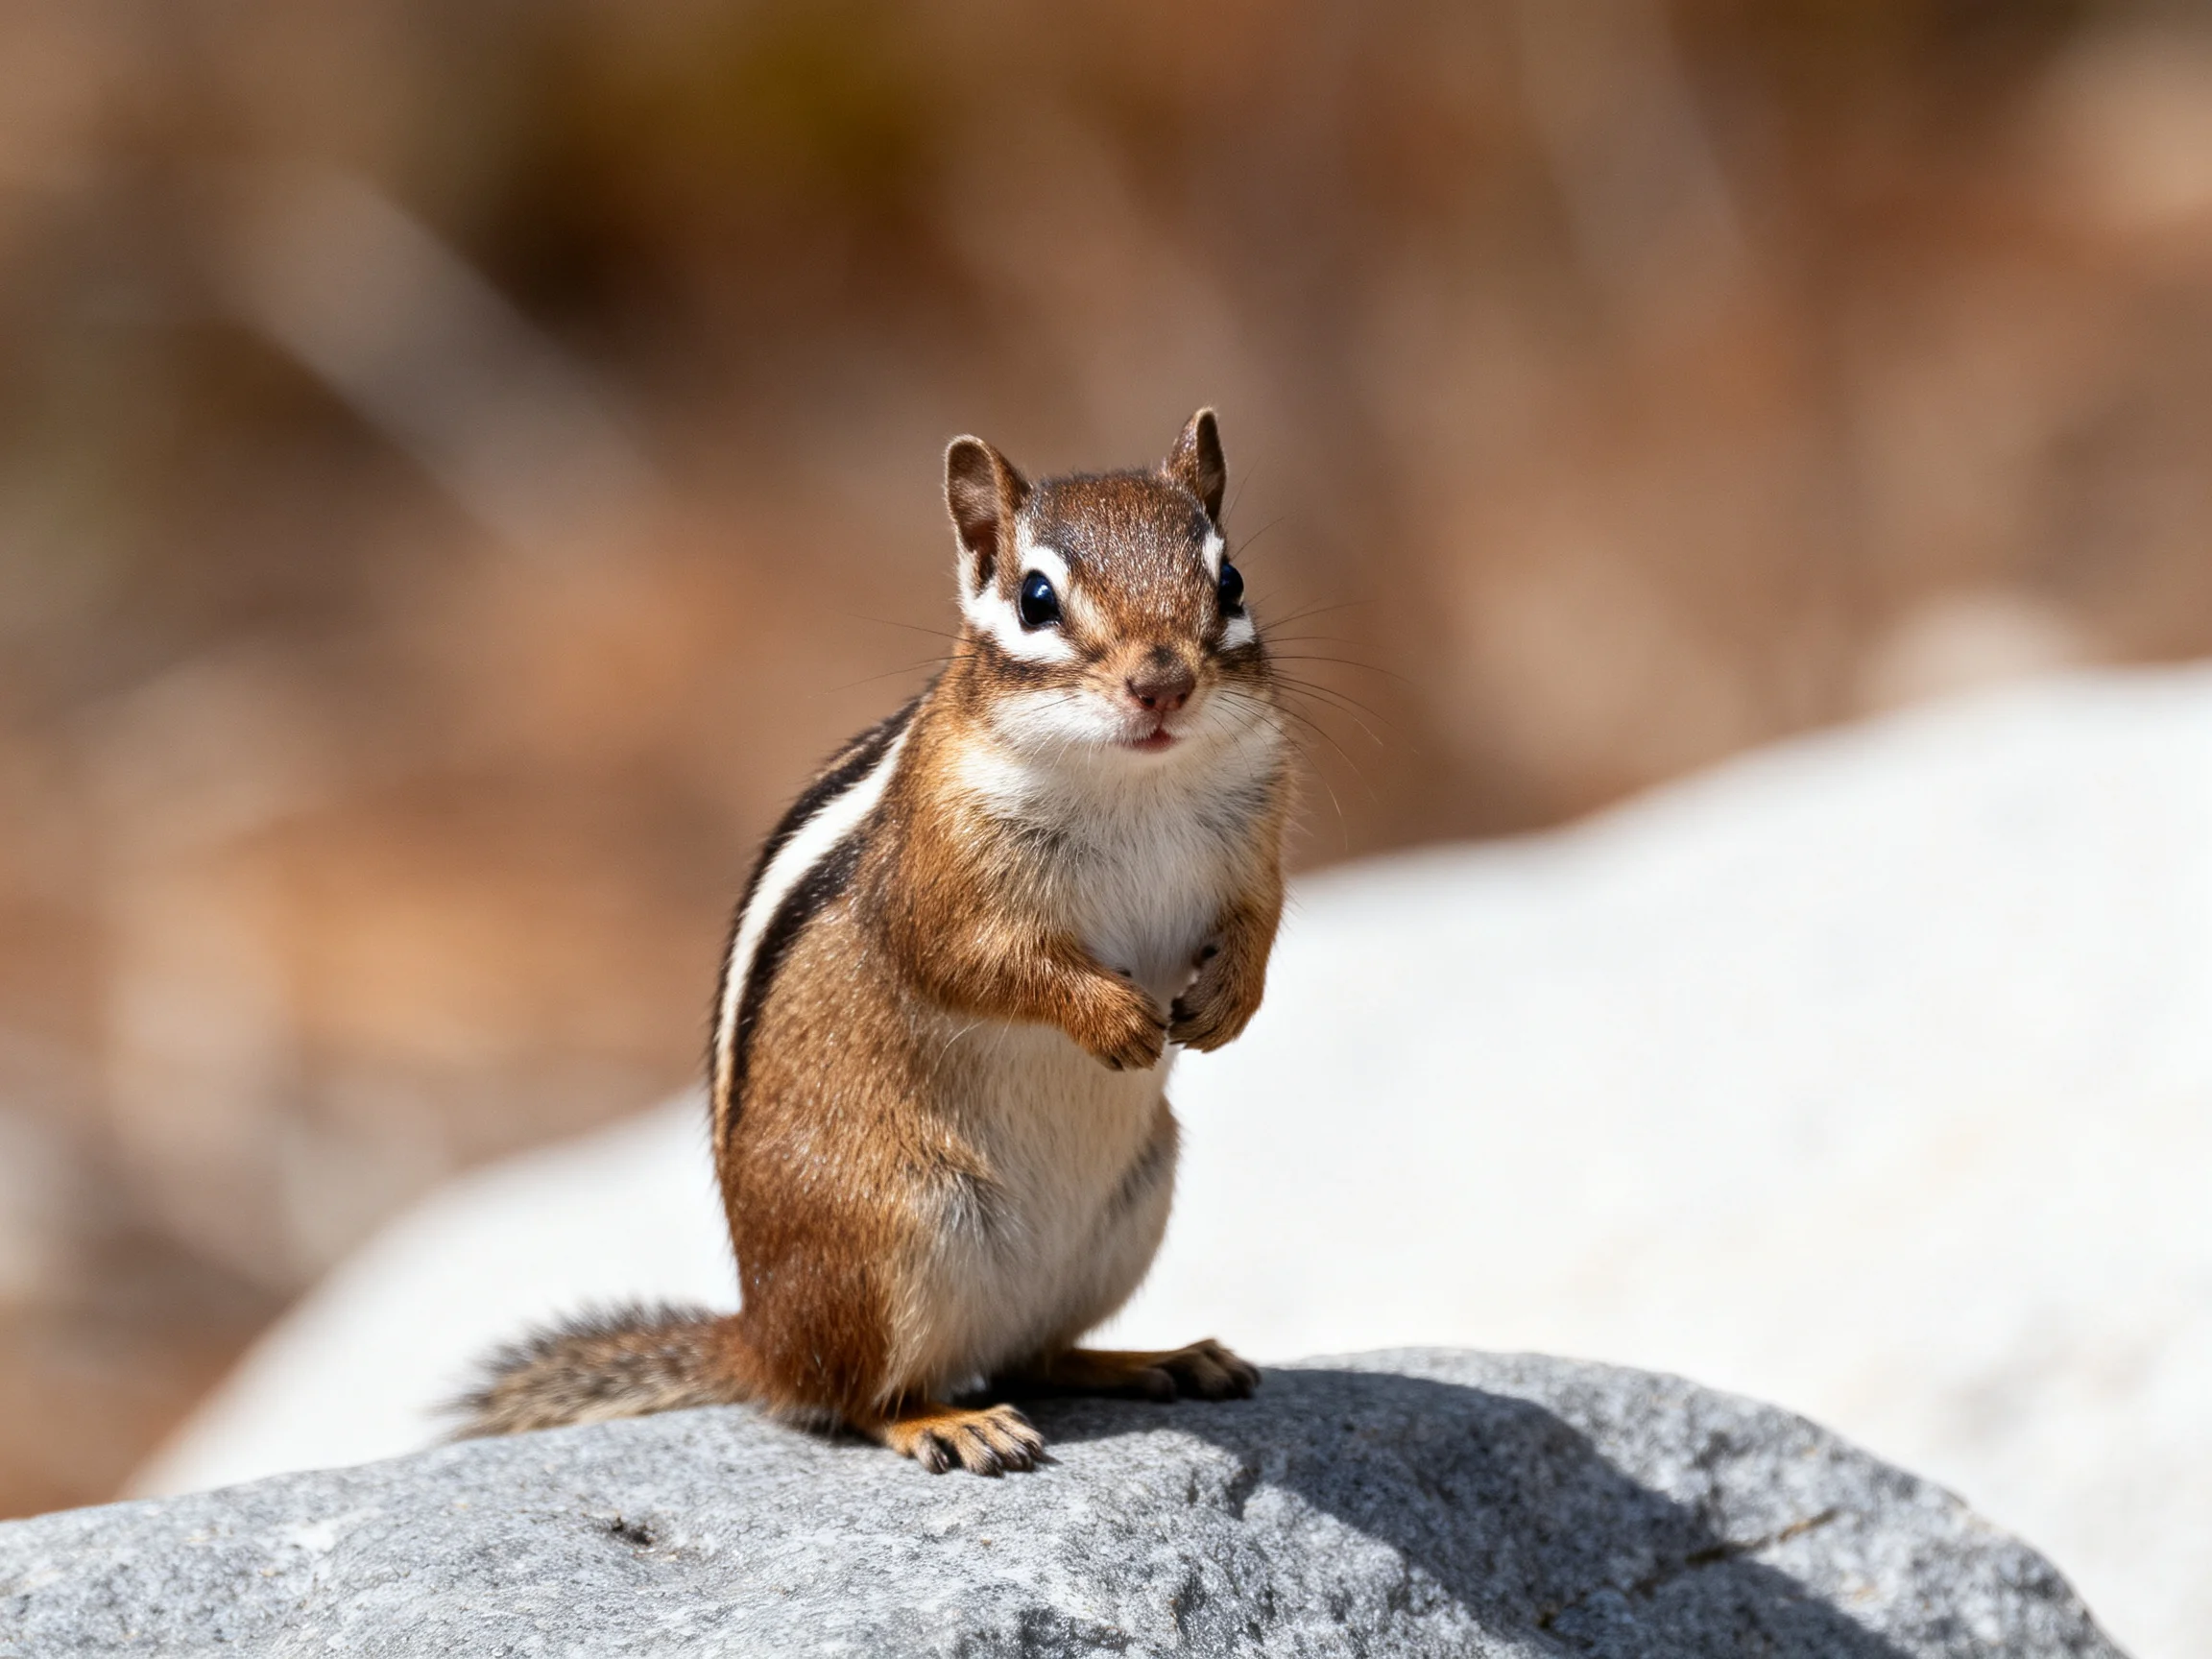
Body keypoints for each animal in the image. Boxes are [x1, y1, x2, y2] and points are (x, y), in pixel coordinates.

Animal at [458, 409, 1288, 1475]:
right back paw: (946, 1421)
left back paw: (1156, 1359)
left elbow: (1259, 921)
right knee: (851, 1397)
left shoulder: (1257, 836)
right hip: (893, 1231)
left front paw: (1231, 1003)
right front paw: (1109, 1019)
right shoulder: (933, 883)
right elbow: (971, 962)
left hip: (1133, 1206)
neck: (1135, 781)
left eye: (1230, 583)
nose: (1163, 684)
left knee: (1038, 1354)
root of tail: (759, 1334)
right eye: (1036, 599)